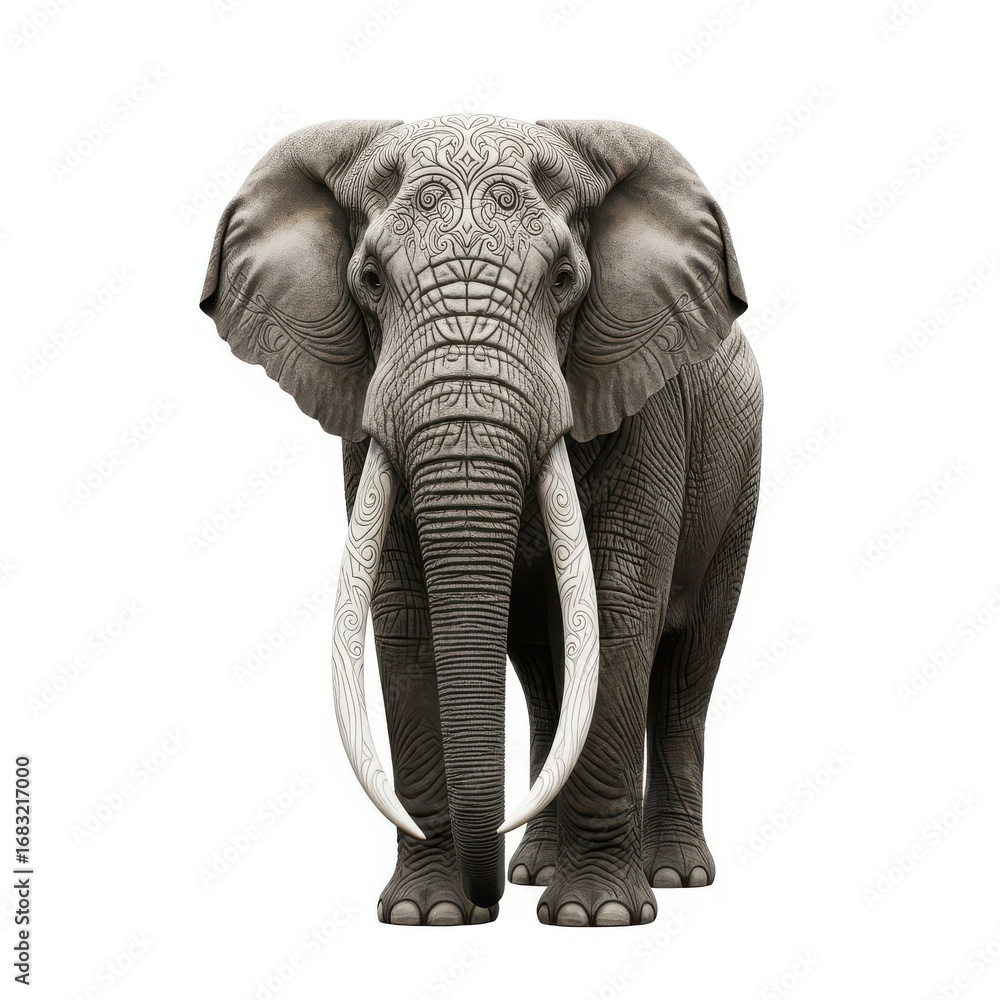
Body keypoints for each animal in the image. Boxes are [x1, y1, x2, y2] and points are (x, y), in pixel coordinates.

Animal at [200, 114, 763, 927]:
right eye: (371, 280)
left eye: (564, 280)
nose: (485, 894)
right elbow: (407, 616)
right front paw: (426, 916)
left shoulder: (646, 404)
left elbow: (620, 604)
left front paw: (596, 917)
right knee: (546, 673)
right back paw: (534, 869)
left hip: (738, 479)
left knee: (689, 665)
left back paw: (673, 876)